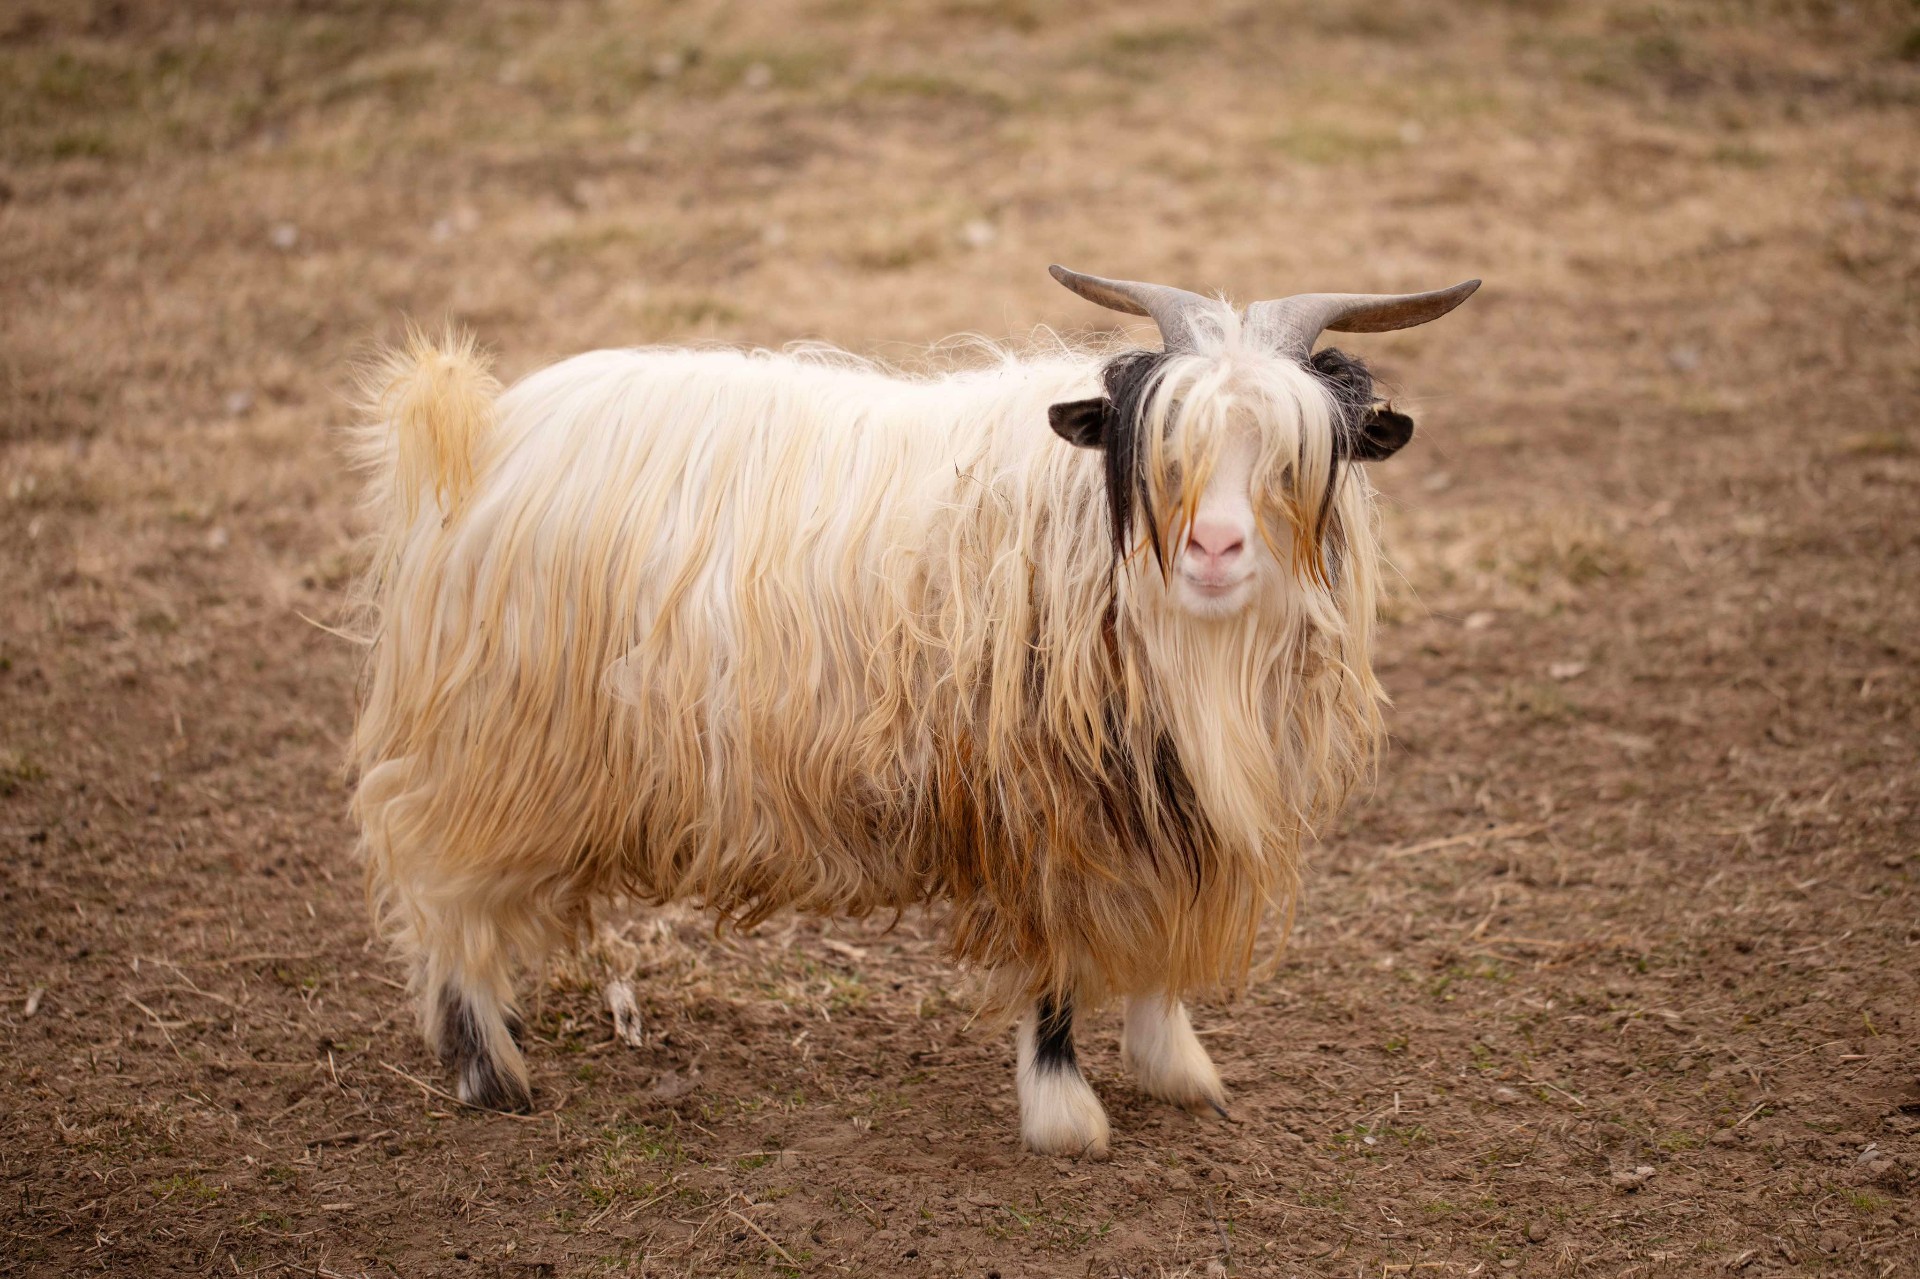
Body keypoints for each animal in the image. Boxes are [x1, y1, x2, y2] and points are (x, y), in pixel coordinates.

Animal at [346, 265, 1477, 1157]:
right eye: (1160, 454)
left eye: (1296, 458)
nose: (1213, 548)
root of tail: (479, 433)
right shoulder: (1040, 803)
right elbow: (1054, 968)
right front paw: (1065, 1115)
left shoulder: (1157, 803)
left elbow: (1153, 940)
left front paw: (1175, 1062)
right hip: (495, 743)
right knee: (440, 884)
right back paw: (488, 1069)